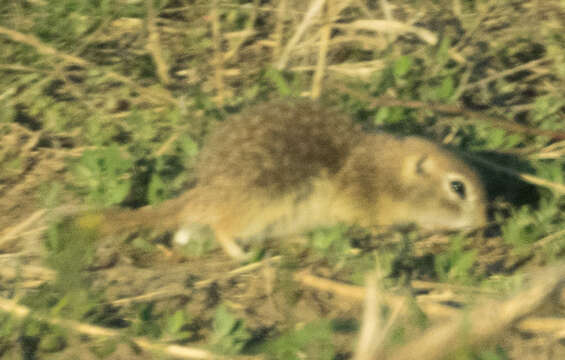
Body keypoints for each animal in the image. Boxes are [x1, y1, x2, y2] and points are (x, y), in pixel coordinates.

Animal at [90, 100, 486, 260]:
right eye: (457, 187)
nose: (484, 223)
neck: (385, 175)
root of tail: (201, 194)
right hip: (262, 204)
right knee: (223, 228)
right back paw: (243, 255)